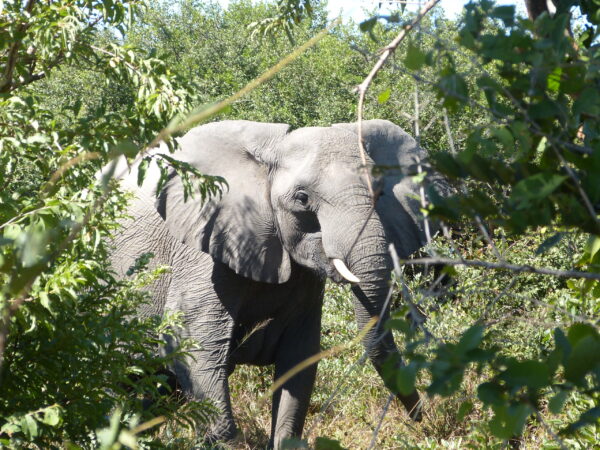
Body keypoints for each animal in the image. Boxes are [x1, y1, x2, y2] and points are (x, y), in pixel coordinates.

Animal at [108, 118, 442, 446]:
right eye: (302, 199)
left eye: (381, 191)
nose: (419, 415)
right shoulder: (201, 255)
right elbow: (196, 349)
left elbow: (299, 361)